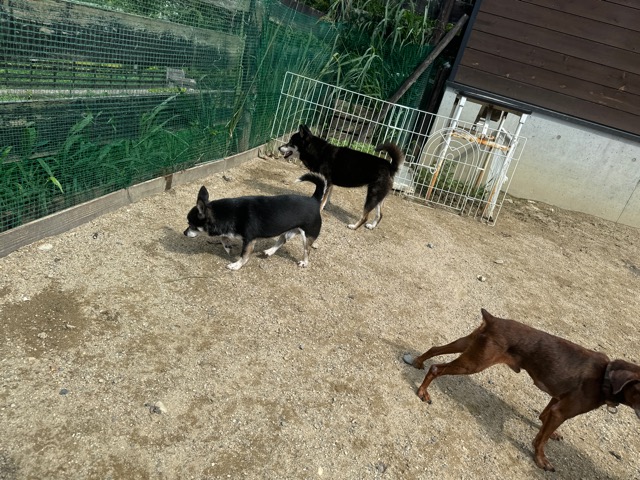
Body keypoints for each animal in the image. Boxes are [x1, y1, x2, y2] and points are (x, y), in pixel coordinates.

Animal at [183, 173, 326, 270]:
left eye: (191, 224)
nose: (184, 233)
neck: (228, 213)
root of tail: (314, 200)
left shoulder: (249, 241)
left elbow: (244, 255)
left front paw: (236, 265)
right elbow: (223, 237)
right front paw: (228, 247)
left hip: (308, 235)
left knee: (307, 250)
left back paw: (304, 262)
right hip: (289, 230)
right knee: (282, 239)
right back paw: (269, 251)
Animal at [403, 308, 640, 472]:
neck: (605, 376)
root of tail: (493, 319)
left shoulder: (557, 400)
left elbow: (544, 420)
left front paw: (551, 433)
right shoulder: (562, 412)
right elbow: (541, 440)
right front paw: (541, 460)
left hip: (468, 345)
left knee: (436, 348)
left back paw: (418, 361)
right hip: (473, 363)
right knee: (437, 368)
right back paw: (423, 392)